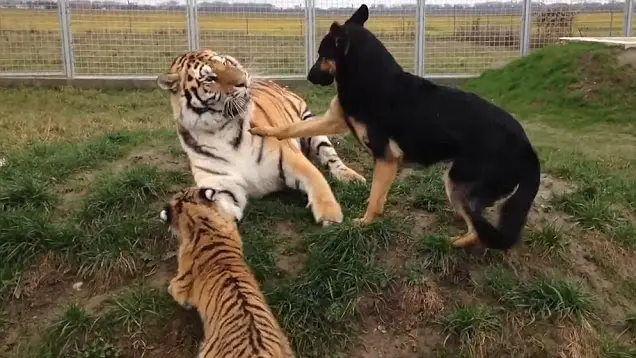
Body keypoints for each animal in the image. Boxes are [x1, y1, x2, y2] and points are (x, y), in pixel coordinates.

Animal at [157, 49, 362, 225]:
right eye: (209, 78)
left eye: (226, 63)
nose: (244, 80)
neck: (220, 129)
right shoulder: (223, 186)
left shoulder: (291, 157)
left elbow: (318, 181)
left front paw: (331, 216)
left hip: (310, 125)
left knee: (331, 157)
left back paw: (351, 177)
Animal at [251, 4, 540, 250]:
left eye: (323, 54)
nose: (309, 77)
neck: (368, 77)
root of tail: (529, 149)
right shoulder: (332, 121)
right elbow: (290, 129)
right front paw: (263, 130)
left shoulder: (386, 159)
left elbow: (375, 197)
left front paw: (364, 224)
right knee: (477, 226)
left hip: (457, 181)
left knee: (480, 231)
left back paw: (451, 244)